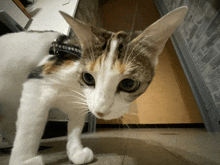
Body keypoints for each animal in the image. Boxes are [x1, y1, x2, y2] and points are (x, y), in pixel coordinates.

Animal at [0, 5, 188, 164]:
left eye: (128, 83)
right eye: (88, 78)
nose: (100, 112)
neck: (75, 85)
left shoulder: (81, 103)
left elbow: (76, 124)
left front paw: (75, 151)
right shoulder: (38, 80)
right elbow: (31, 126)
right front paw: (24, 160)